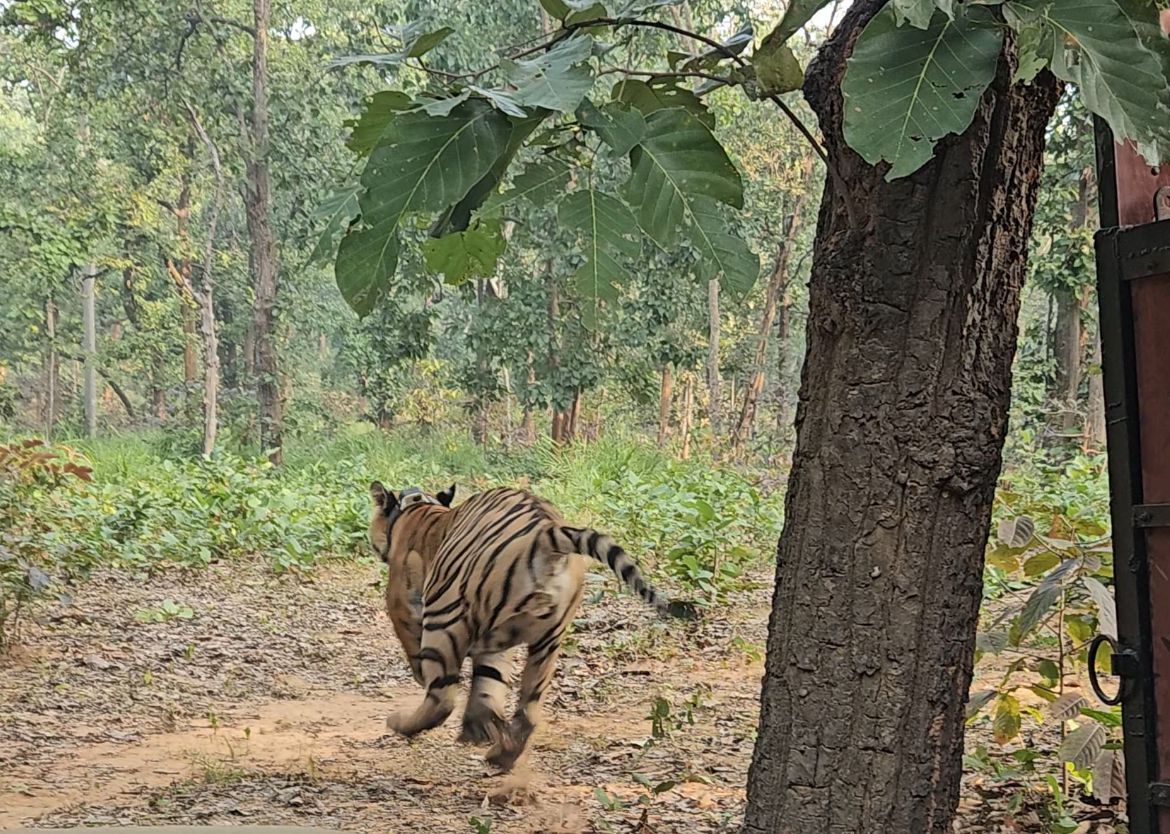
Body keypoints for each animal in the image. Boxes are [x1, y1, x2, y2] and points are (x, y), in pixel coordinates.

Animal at [367, 481, 692, 767]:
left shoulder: (401, 602)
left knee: (442, 699)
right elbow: (489, 683)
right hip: (546, 641)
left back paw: (401, 723)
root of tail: (546, 534)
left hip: (444, 615)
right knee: (526, 709)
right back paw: (499, 752)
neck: (417, 508)